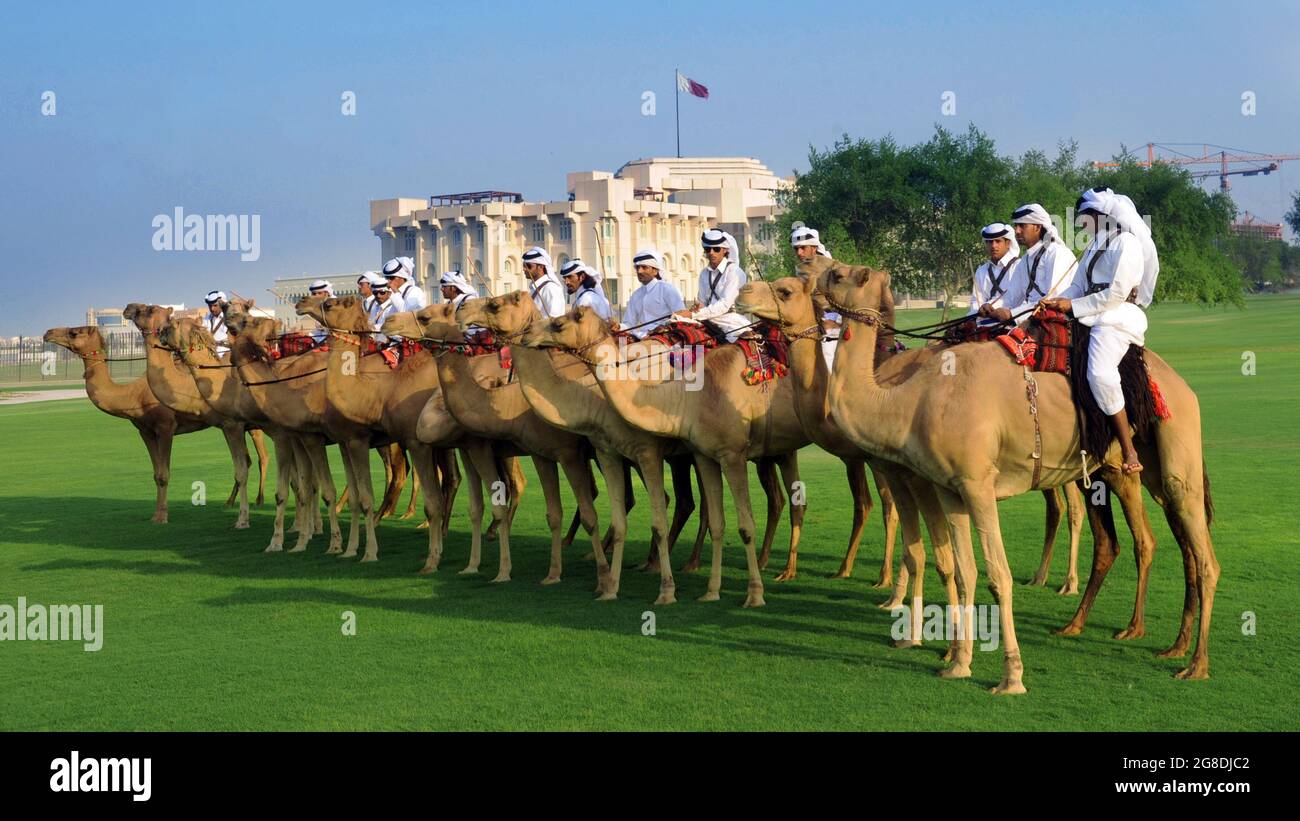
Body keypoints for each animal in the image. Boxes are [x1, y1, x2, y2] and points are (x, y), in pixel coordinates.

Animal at [44, 326, 218, 522]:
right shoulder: (145, 431)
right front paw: (156, 516)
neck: (134, 395)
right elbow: (157, 474)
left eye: (74, 332)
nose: (48, 333)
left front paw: (162, 517)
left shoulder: (166, 427)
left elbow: (164, 474)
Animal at [120, 301, 269, 524]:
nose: (128, 308)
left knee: (263, 457)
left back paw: (258, 501)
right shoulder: (228, 425)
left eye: (148, 309)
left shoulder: (235, 424)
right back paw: (232, 502)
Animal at [379, 301, 605, 589]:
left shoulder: (480, 447)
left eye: (425, 316)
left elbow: (496, 507)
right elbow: (476, 508)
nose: (389, 321)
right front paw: (469, 565)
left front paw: (502, 571)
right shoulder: (468, 449)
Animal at [811, 253, 1216, 691]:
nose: (812, 278)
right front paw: (958, 662)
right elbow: (964, 572)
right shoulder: (949, 488)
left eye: (838, 273)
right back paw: (1162, 643)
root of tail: (1183, 386)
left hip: (1174, 441)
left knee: (1201, 551)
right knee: (1170, 540)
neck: (910, 400)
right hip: (1141, 465)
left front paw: (1010, 676)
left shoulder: (977, 484)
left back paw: (1195, 664)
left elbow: (997, 576)